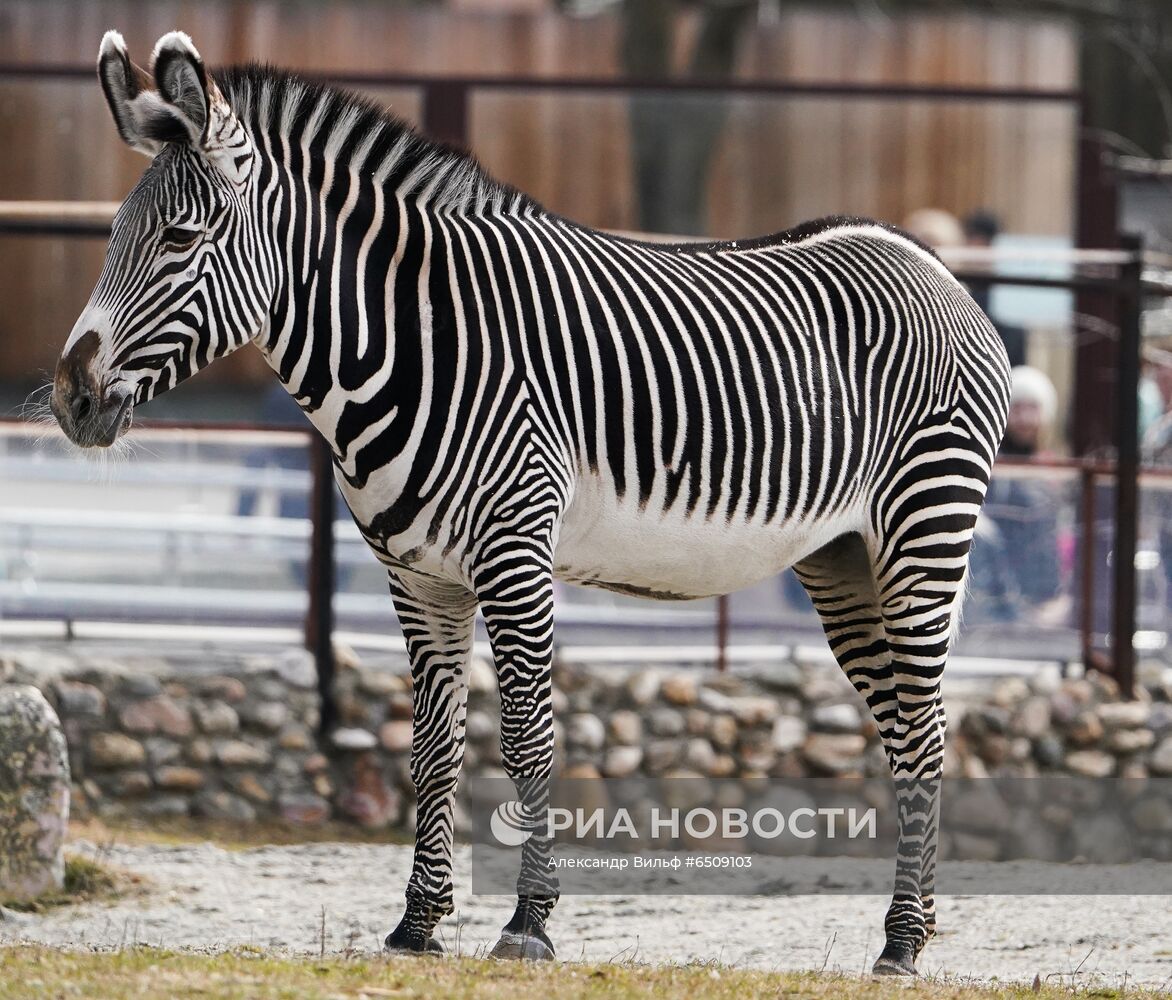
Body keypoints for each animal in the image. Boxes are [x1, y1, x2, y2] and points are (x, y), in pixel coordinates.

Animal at [50, 31, 1012, 975]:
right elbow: (432, 750)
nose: (71, 398)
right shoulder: (418, 578)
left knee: (927, 731)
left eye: (181, 238)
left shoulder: (515, 552)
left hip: (924, 532)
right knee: (903, 729)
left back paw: (902, 943)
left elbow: (526, 741)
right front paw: (418, 925)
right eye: (114, 234)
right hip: (843, 562)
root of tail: (930, 265)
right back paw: (913, 928)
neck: (412, 343)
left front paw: (528, 924)